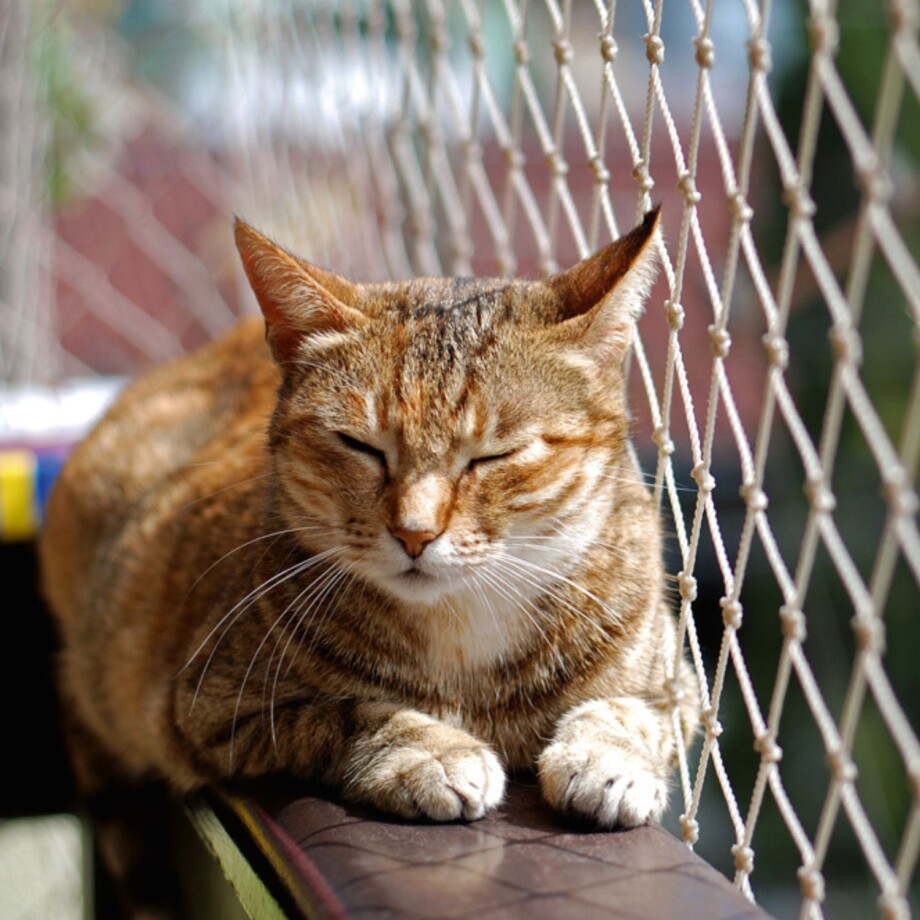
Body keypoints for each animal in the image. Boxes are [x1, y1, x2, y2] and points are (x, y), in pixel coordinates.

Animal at [37, 210, 696, 876]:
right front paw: (428, 750)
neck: (462, 635)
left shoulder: (680, 687)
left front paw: (609, 758)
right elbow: (348, 710)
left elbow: (633, 711)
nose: (415, 531)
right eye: (361, 446)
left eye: (494, 455)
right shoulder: (209, 709)